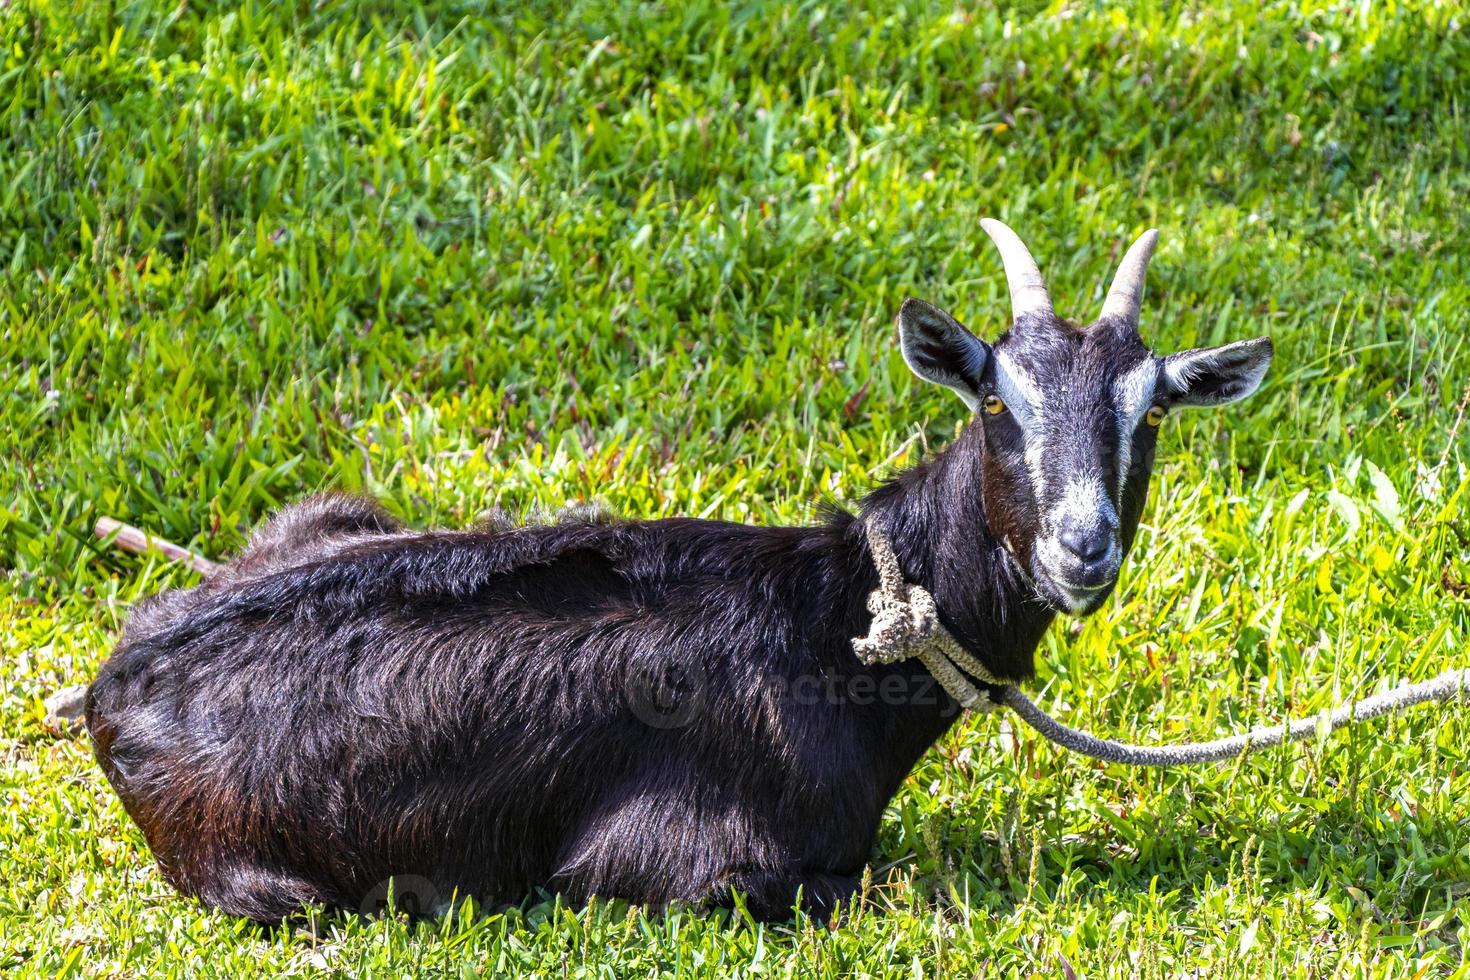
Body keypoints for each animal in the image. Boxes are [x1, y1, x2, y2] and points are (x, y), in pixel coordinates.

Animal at [85, 224, 1270, 928]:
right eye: (993, 399)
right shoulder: (685, 866)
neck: (834, 621)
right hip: (273, 886)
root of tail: (111, 688)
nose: (1083, 545)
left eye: (1149, 412)